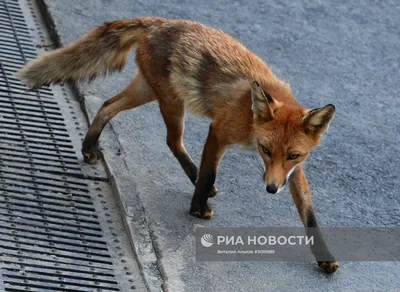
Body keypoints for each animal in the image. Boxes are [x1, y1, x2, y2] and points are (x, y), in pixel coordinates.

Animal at [18, 17, 338, 272]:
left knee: (108, 106)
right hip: (170, 101)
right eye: (266, 150)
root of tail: (158, 21)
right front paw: (198, 208)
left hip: (147, 90)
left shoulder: (292, 170)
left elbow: (308, 211)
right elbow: (209, 171)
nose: (271, 189)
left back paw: (89, 146)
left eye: (293, 155)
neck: (249, 118)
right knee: (171, 141)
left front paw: (324, 257)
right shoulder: (219, 132)